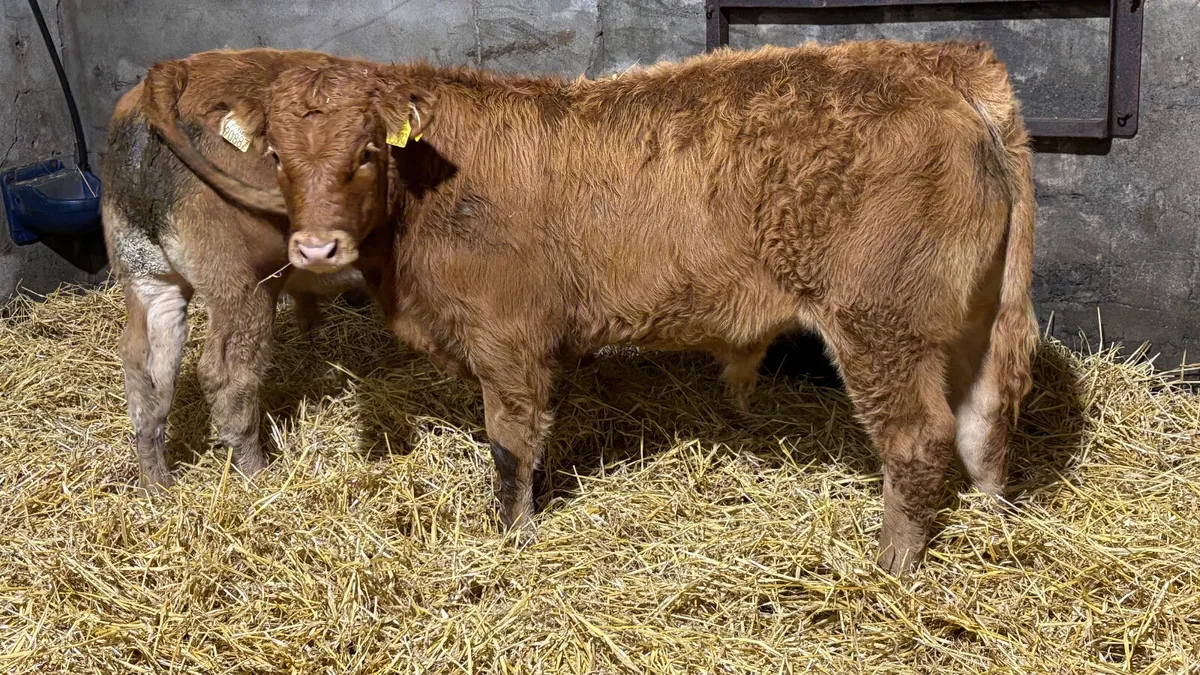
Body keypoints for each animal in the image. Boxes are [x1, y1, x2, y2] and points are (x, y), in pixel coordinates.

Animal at [102, 49, 470, 490]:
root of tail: (170, 73)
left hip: (147, 275)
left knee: (146, 366)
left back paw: (156, 483)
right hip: (243, 282)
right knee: (227, 372)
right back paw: (257, 474)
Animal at [140, 39, 1037, 573]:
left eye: (366, 151)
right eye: (279, 156)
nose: (316, 250)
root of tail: (941, 68)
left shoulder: (505, 340)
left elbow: (509, 444)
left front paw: (512, 536)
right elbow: (539, 436)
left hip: (883, 325)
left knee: (919, 439)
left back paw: (889, 565)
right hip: (971, 324)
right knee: (985, 419)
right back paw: (995, 524)